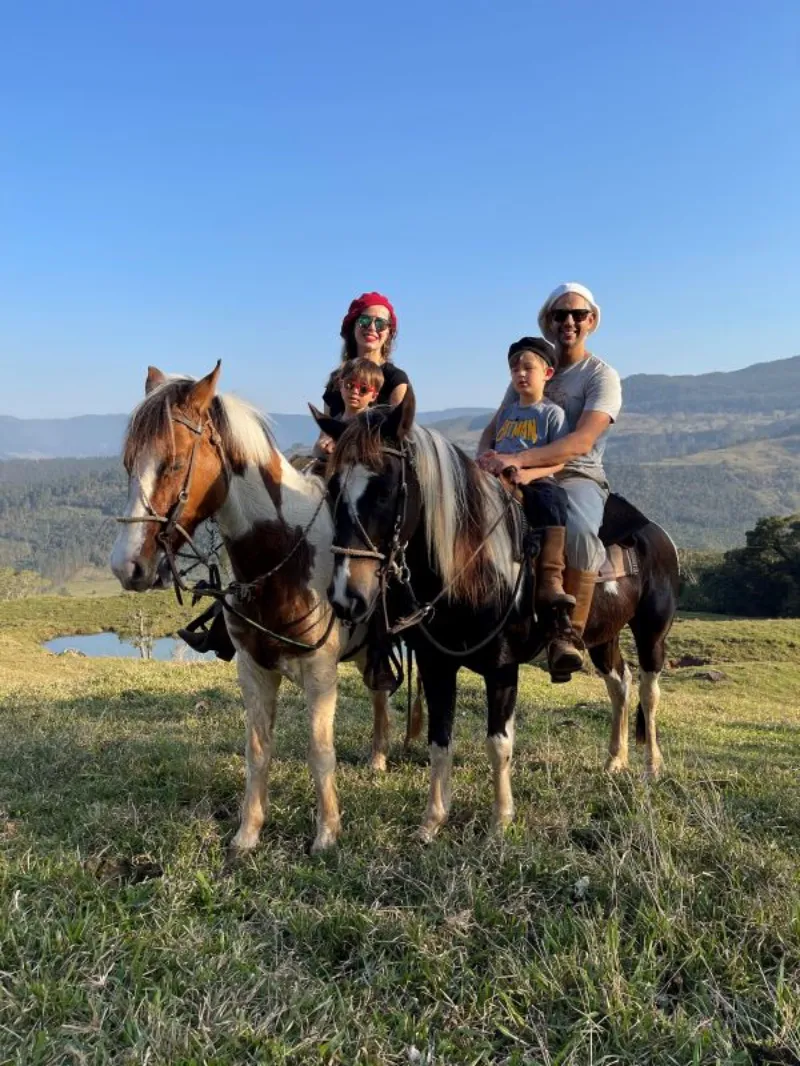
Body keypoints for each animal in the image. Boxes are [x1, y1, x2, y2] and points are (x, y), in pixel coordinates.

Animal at [111, 366, 398, 857]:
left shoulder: (320, 673)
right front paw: (248, 833)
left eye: (173, 463)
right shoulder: (253, 669)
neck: (284, 554)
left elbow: (319, 752)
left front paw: (327, 833)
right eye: (130, 465)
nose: (126, 566)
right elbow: (258, 750)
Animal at [315, 400, 678, 840]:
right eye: (333, 489)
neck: (474, 564)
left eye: (385, 489)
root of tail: (655, 533)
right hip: (601, 637)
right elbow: (440, 740)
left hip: (651, 633)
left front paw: (501, 821)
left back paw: (651, 766)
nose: (347, 596)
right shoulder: (437, 665)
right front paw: (432, 821)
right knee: (619, 685)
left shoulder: (502, 667)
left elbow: (498, 742)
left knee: (649, 692)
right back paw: (615, 760)